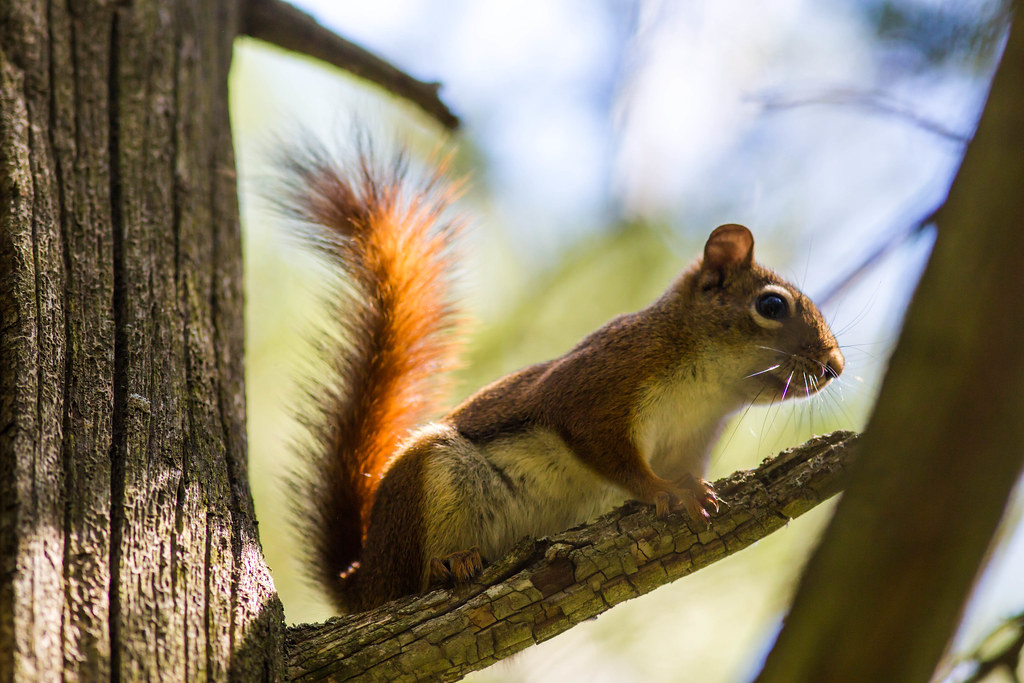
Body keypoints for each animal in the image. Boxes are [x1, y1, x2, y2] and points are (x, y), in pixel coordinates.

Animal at [280, 147, 845, 614]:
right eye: (771, 306)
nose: (835, 367)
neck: (706, 392)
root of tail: (363, 578)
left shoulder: (689, 440)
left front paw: (691, 488)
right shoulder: (601, 385)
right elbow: (607, 451)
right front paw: (664, 492)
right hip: (432, 480)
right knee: (409, 581)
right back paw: (446, 563)